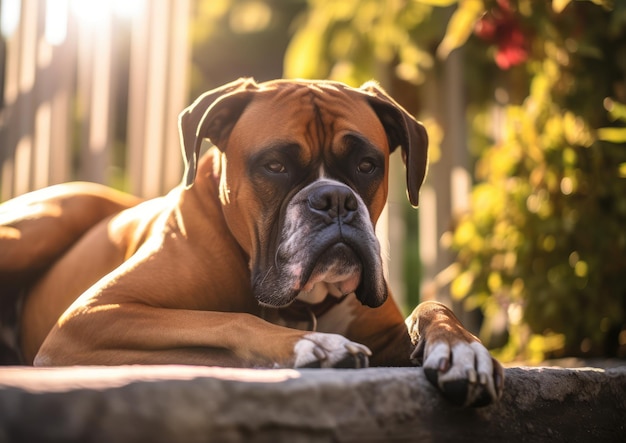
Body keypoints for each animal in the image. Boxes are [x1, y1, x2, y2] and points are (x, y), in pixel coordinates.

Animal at [0, 80, 502, 410]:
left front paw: (462, 350)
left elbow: (432, 308)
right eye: (275, 165)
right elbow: (226, 320)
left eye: (366, 165)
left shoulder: (386, 337)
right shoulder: (90, 317)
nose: (335, 200)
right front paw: (314, 346)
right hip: (39, 229)